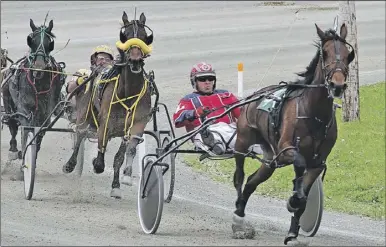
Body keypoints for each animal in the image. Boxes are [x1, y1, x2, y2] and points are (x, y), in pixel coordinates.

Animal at [62, 11, 155, 200]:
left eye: (144, 36)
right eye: (125, 35)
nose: (135, 60)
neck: (127, 93)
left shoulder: (136, 123)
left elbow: (124, 153)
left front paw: (121, 181)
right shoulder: (106, 122)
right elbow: (100, 151)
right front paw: (96, 163)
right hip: (84, 113)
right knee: (80, 134)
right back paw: (70, 164)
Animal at [231, 23, 354, 245]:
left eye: (348, 54)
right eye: (325, 53)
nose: (337, 85)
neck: (314, 113)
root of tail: (255, 95)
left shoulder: (317, 163)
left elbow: (304, 192)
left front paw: (292, 232)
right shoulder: (286, 149)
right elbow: (298, 164)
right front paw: (293, 200)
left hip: (270, 158)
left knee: (252, 181)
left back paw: (241, 212)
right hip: (242, 143)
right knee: (239, 177)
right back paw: (237, 218)